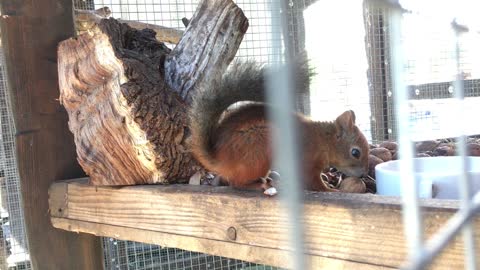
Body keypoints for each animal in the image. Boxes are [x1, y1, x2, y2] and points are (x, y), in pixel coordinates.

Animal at [189, 58, 370, 194]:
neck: (322, 141)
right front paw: (331, 190)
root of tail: (220, 160)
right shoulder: (306, 161)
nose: (363, 174)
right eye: (355, 152)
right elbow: (313, 182)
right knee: (236, 183)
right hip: (259, 147)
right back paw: (258, 185)